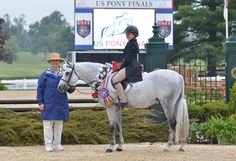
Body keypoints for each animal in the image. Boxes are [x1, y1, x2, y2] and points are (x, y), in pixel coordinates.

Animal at [58, 61, 189, 152]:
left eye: (67, 73)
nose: (60, 88)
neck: (102, 77)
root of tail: (178, 75)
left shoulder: (110, 107)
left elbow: (112, 126)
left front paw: (110, 146)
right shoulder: (117, 108)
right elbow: (119, 125)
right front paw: (120, 146)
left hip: (167, 104)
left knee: (172, 123)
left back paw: (168, 146)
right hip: (175, 103)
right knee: (177, 123)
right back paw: (181, 146)